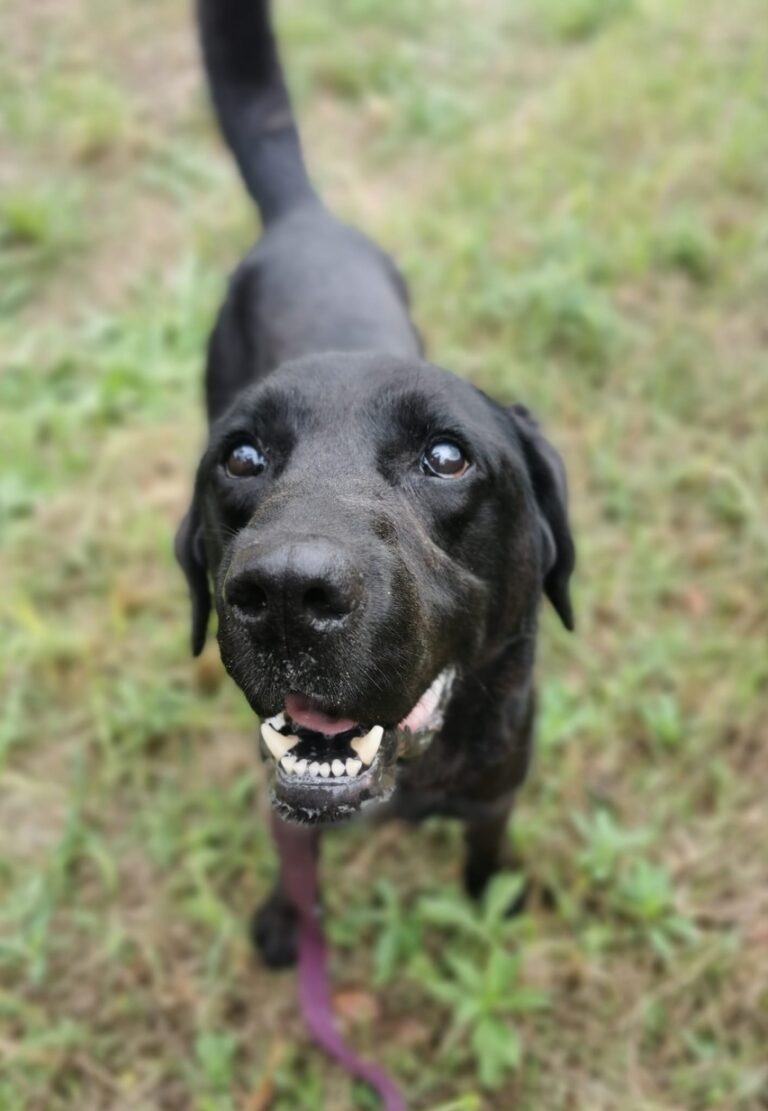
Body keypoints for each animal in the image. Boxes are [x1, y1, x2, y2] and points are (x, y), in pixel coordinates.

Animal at [176, 0, 573, 964]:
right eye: (242, 458)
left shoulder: (497, 791)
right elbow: (293, 844)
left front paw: (488, 902)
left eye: (447, 456)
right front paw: (289, 915)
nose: (286, 594)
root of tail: (302, 217)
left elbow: (485, 850)